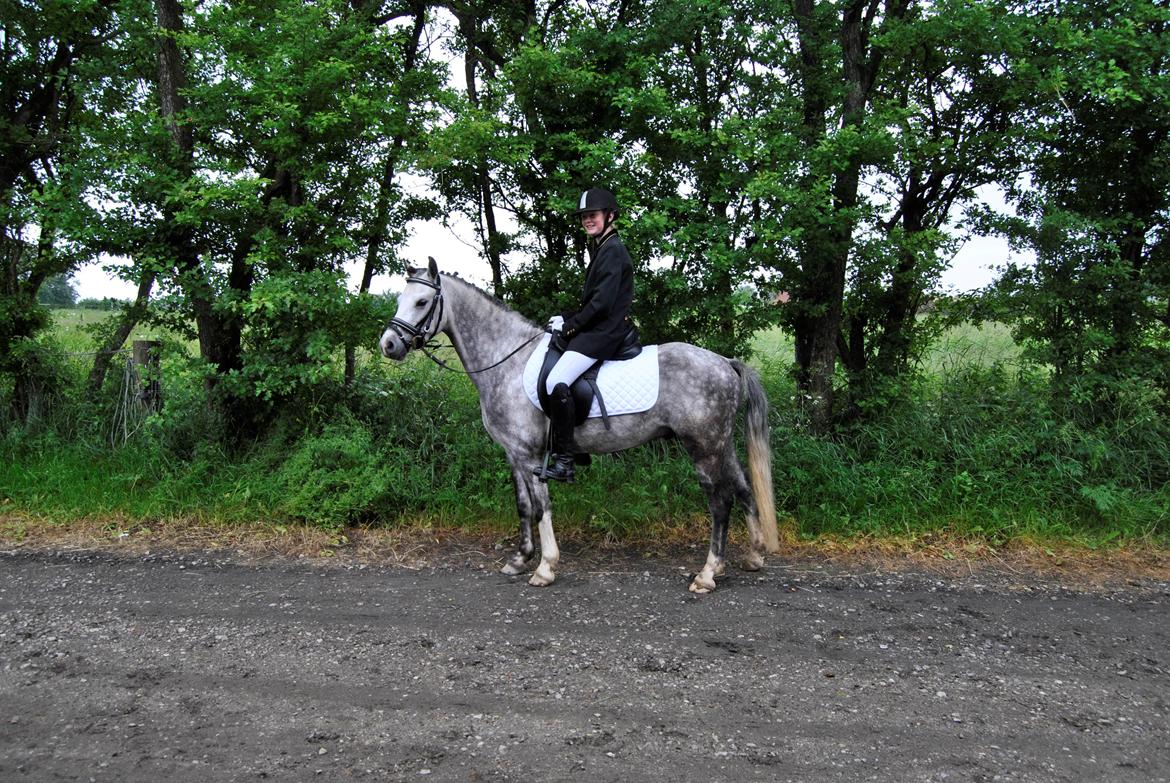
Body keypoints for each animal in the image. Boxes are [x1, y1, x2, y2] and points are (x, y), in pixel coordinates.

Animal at [379, 257, 780, 593]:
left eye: (421, 302)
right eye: (400, 299)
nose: (388, 345)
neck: (505, 360)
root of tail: (725, 362)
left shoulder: (531, 456)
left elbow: (542, 507)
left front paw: (545, 567)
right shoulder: (514, 454)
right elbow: (523, 506)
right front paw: (519, 559)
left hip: (703, 448)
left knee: (720, 502)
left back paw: (707, 574)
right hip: (721, 445)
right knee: (743, 488)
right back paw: (752, 556)